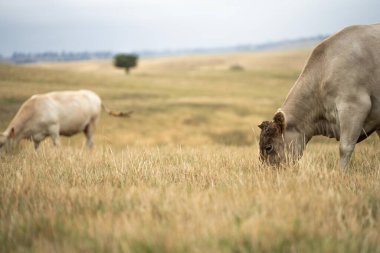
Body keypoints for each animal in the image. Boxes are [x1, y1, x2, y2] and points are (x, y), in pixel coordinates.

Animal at [0, 89, 134, 150]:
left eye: (1, 144)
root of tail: (96, 97)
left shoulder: (54, 128)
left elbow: (57, 145)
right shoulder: (36, 137)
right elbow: (36, 149)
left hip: (92, 124)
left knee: (90, 143)